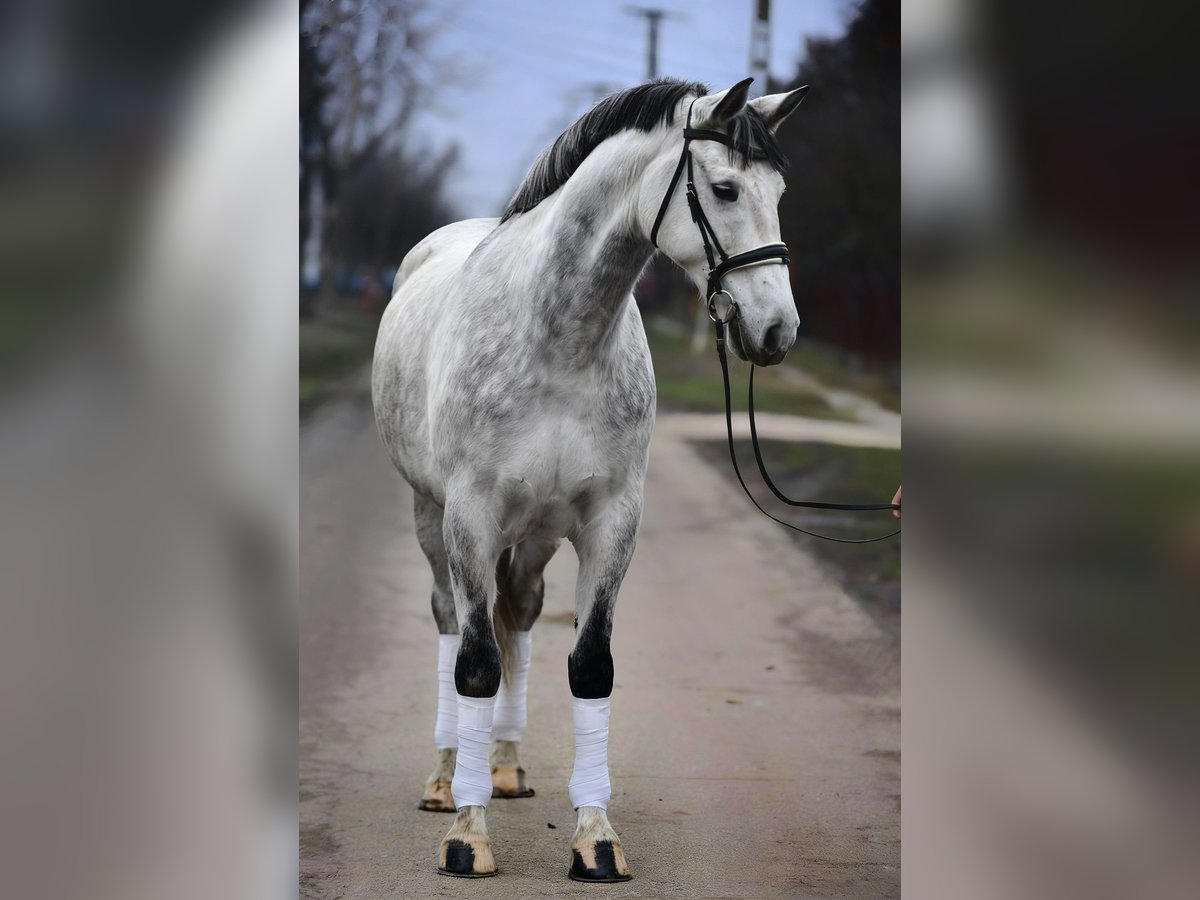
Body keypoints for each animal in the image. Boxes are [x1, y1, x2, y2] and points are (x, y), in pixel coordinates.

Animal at [371, 76, 807, 881]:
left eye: (780, 191)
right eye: (725, 188)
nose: (776, 332)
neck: (558, 337)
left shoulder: (610, 522)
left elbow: (589, 667)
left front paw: (596, 838)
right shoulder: (470, 518)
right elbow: (475, 665)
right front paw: (468, 839)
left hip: (538, 534)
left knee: (518, 614)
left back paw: (506, 768)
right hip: (430, 517)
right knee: (453, 623)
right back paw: (448, 782)